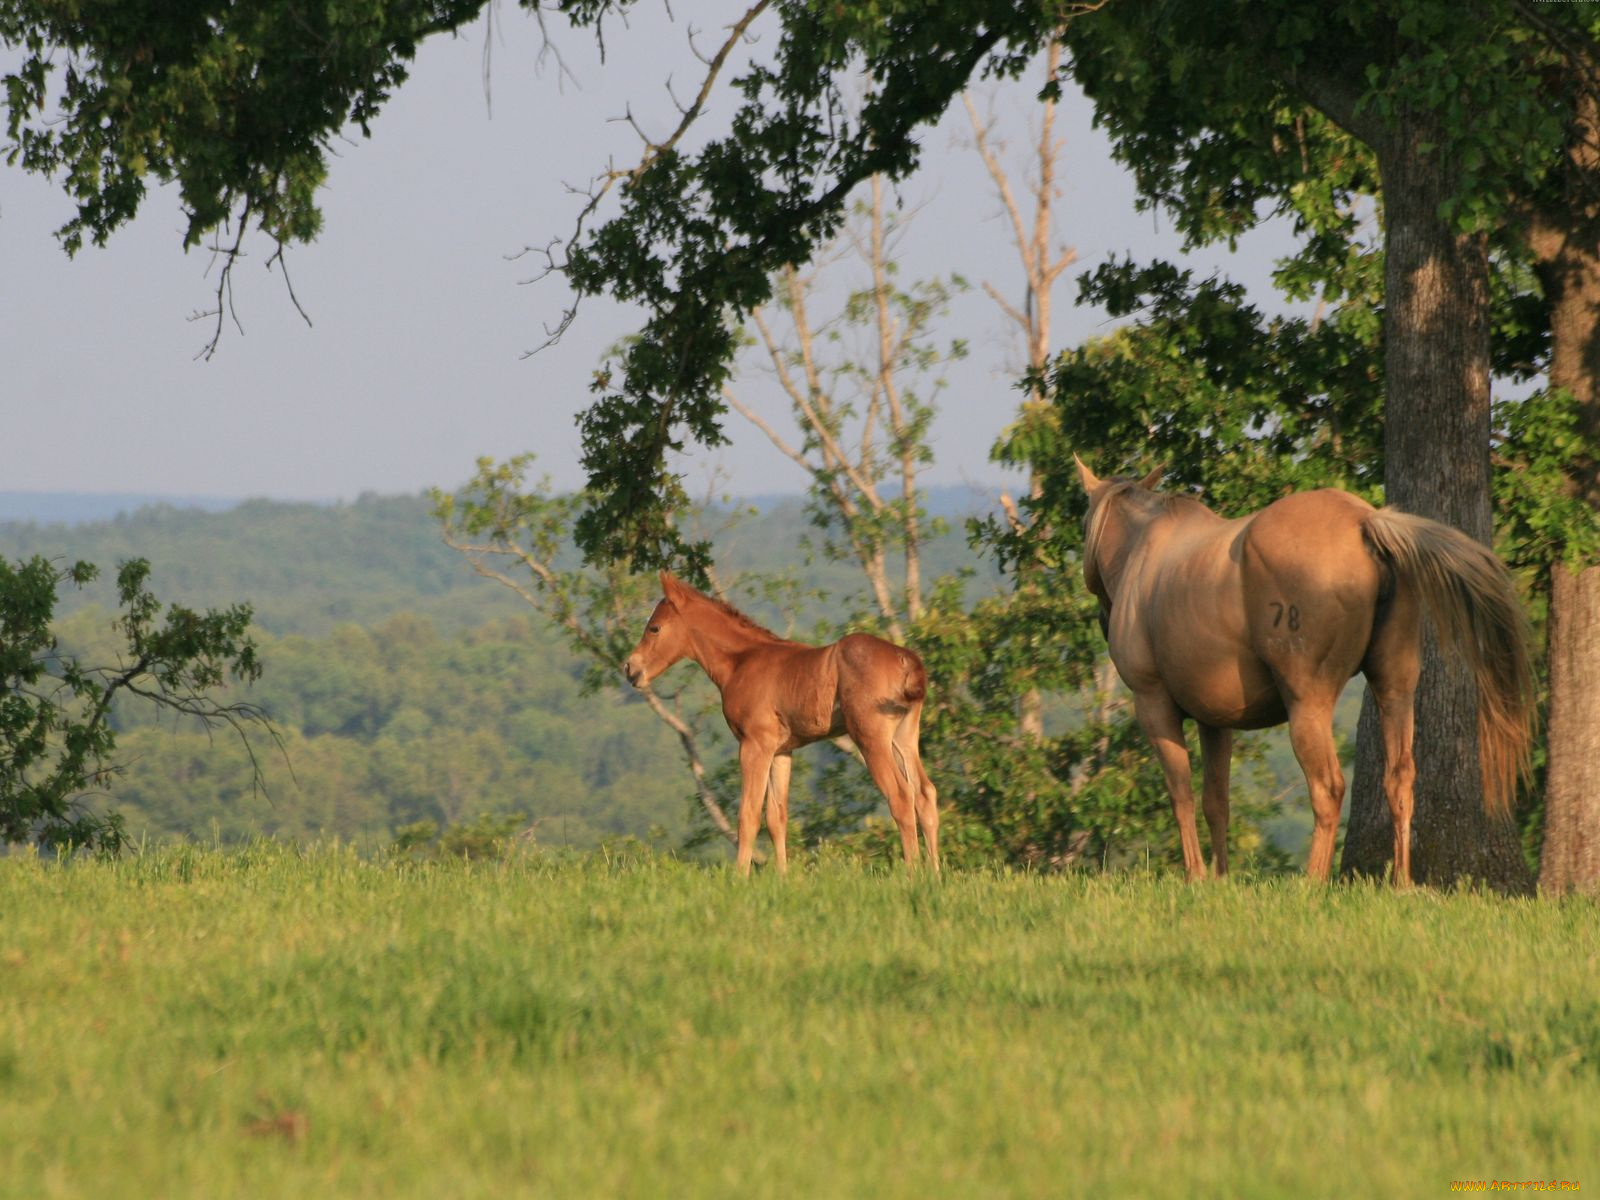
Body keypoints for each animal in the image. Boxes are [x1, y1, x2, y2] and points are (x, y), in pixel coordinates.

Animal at [614, 569, 934, 876]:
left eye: (655, 628)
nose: (630, 668)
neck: (741, 661)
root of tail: (906, 659)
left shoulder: (754, 744)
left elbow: (749, 814)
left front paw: (739, 878)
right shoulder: (781, 750)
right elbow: (776, 817)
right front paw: (782, 879)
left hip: (871, 739)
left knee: (901, 797)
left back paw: (913, 875)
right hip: (904, 738)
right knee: (925, 794)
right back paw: (935, 875)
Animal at [1075, 457, 1536, 883]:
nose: (1102, 618)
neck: (1146, 553)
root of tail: (1364, 522)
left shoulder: (1154, 705)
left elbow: (1182, 794)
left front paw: (1197, 876)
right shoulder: (1215, 722)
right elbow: (1215, 802)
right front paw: (1220, 878)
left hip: (1307, 706)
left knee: (1328, 788)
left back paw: (1313, 883)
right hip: (1395, 687)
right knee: (1400, 779)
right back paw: (1401, 884)